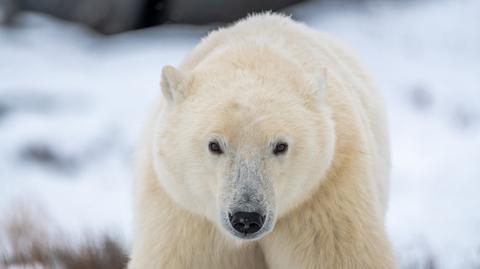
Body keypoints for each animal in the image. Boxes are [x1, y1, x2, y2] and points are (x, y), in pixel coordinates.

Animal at [126, 13, 394, 268]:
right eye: (214, 145)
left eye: (280, 146)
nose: (247, 217)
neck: (254, 53)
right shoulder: (183, 212)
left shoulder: (325, 195)